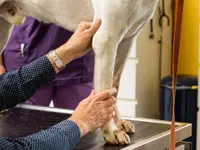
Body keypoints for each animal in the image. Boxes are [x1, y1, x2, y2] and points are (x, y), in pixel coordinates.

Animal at [0, 0, 158, 145]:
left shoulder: (128, 40)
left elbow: (114, 88)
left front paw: (118, 123)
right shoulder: (105, 39)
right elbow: (105, 92)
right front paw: (111, 131)